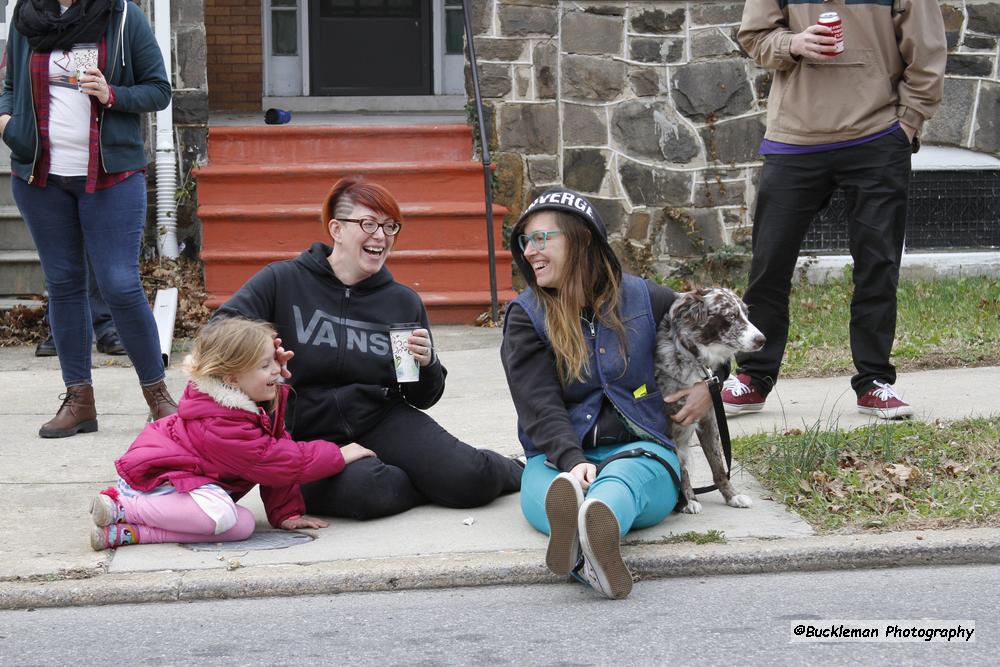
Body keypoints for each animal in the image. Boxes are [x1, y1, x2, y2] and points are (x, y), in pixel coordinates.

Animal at [656, 290, 764, 516]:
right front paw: (688, 500)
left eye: (746, 313)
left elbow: (718, 465)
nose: (762, 340)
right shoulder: (666, 423)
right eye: (731, 315)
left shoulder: (708, 417)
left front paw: (732, 496)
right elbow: (681, 468)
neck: (692, 357)